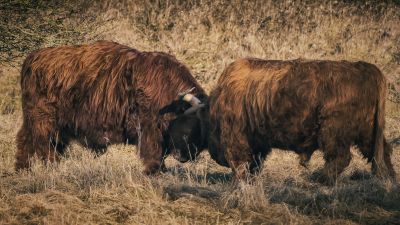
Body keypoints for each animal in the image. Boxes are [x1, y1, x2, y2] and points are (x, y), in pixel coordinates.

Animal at [16, 40, 205, 174]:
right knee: (43, 145)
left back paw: (22, 169)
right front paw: (154, 171)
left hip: (43, 122)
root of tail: (32, 58)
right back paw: (52, 166)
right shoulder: (149, 127)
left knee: (25, 140)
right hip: (43, 120)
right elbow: (154, 151)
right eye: (188, 129)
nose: (184, 157)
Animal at [161, 58, 396, 185]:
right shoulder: (257, 143)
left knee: (340, 157)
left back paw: (321, 180)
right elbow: (253, 164)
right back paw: (388, 178)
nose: (175, 154)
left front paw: (238, 183)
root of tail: (367, 69)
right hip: (367, 132)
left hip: (334, 131)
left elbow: (239, 164)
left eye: (182, 128)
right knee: (382, 152)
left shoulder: (236, 139)